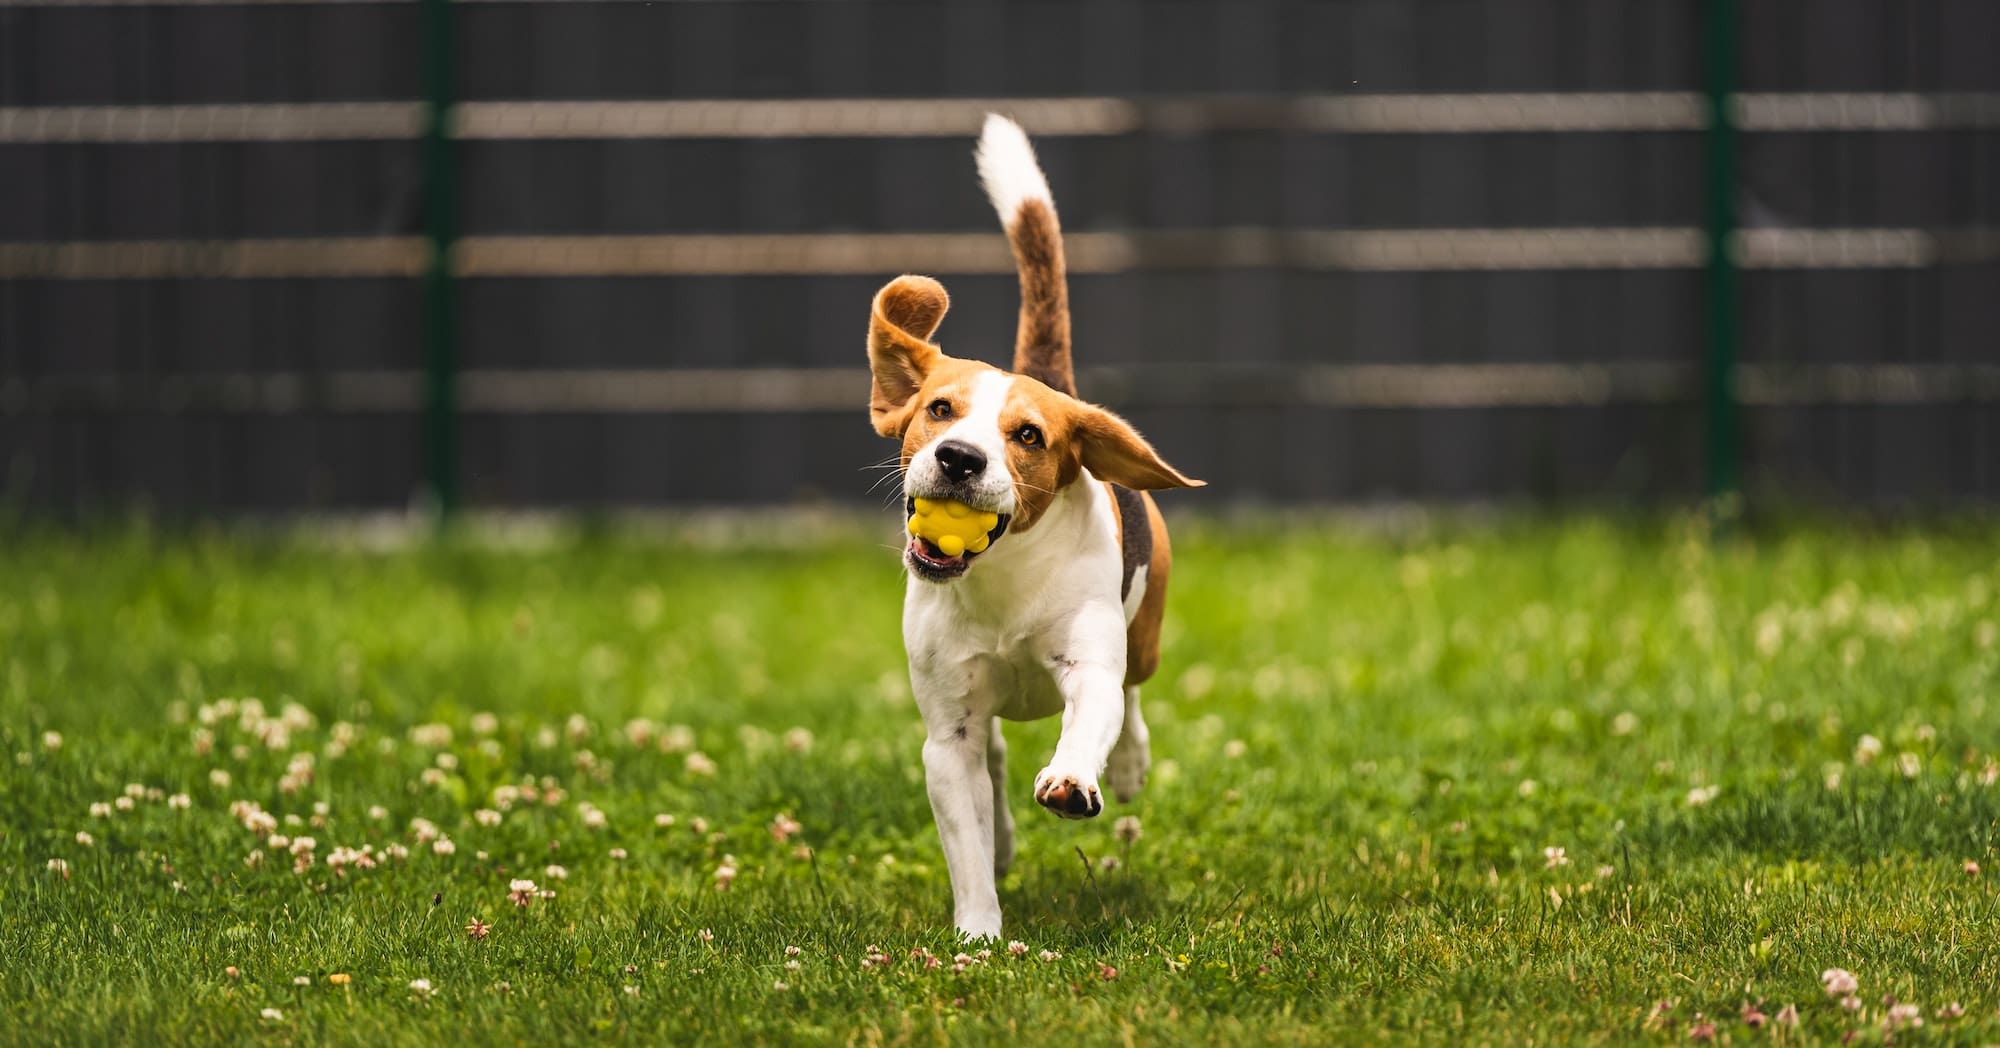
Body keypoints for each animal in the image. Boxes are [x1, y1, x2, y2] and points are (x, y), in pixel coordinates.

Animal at [864, 116, 1200, 940]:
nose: (958, 459)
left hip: (1144, 632)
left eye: (1028, 436)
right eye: (939, 409)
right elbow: (966, 835)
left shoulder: (1089, 668)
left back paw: (1128, 764)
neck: (999, 581)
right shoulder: (946, 735)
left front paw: (1077, 779)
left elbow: (1092, 715)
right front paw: (978, 932)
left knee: (1133, 695)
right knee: (993, 761)